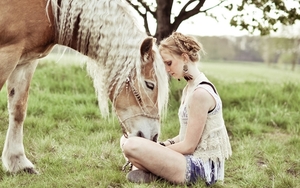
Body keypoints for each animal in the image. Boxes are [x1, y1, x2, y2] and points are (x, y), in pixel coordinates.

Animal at [0, 0, 169, 175]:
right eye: (150, 85)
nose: (154, 137)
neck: (49, 13)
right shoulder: (7, 55)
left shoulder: (25, 62)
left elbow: (18, 111)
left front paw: (18, 162)